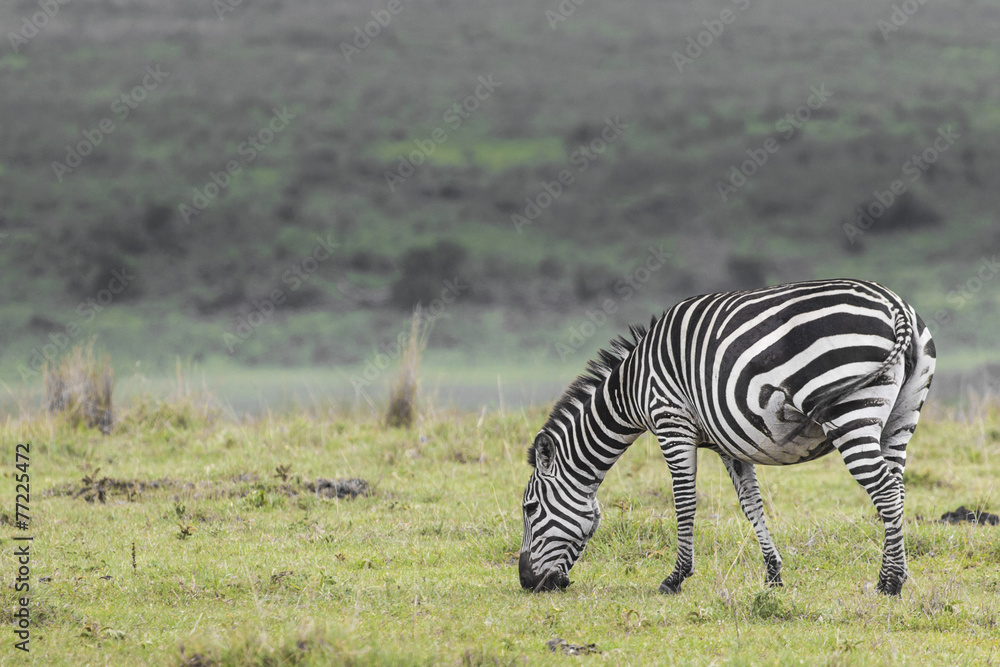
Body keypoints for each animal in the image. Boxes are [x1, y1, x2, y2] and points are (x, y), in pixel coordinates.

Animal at [519, 279, 935, 596]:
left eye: (530, 509)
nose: (526, 582)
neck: (632, 387)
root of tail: (895, 305)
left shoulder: (671, 420)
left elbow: (685, 501)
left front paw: (675, 578)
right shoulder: (729, 443)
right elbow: (751, 505)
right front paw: (773, 575)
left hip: (850, 410)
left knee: (885, 491)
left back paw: (890, 584)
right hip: (901, 415)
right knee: (897, 489)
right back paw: (891, 576)